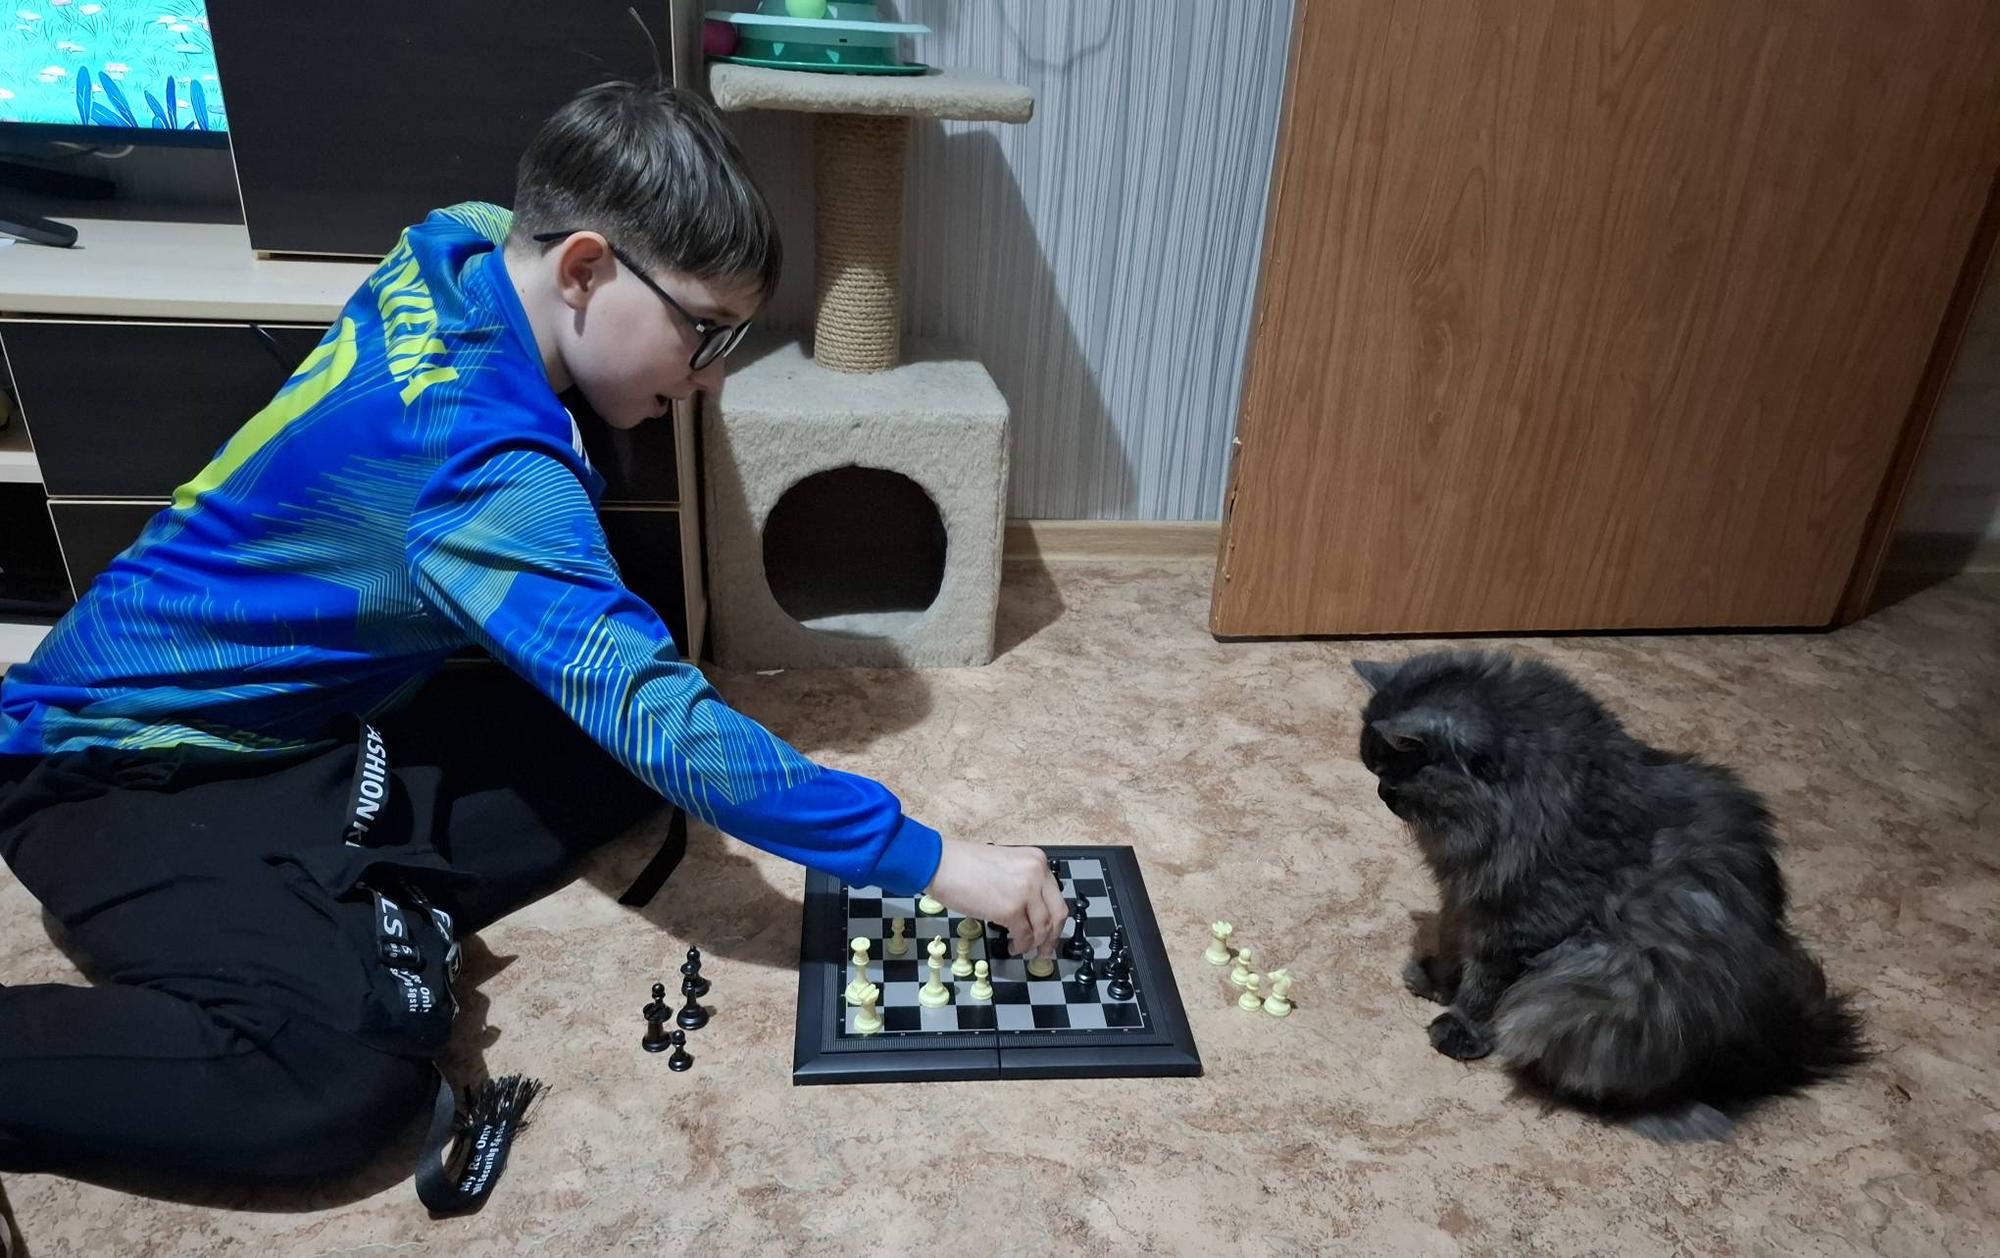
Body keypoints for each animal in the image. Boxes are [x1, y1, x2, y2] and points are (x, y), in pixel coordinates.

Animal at [1353, 650, 1866, 1140]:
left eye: (1393, 773)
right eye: (1375, 771)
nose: (1380, 792)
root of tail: (1763, 1063)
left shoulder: (1522, 920)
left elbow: (1484, 984)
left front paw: (1460, 1025)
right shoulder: (1465, 897)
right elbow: (1452, 940)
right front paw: (1436, 980)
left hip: (1592, 992)